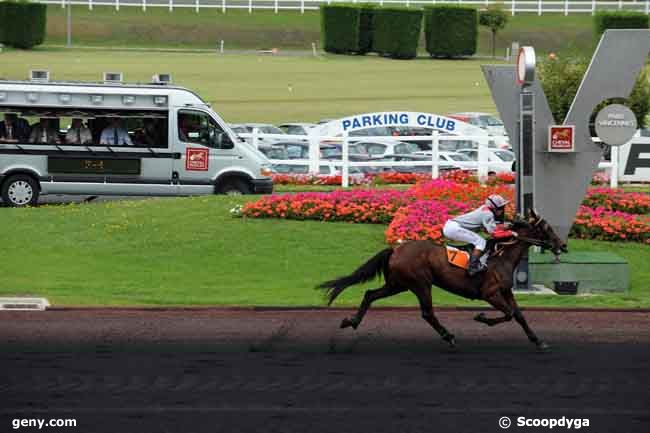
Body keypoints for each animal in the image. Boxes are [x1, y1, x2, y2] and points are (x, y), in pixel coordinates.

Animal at [318, 209, 568, 352]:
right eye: (546, 228)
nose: (563, 245)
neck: (501, 256)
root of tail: (396, 249)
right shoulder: (490, 293)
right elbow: (507, 314)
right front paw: (481, 317)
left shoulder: (506, 291)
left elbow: (518, 315)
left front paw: (538, 341)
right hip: (420, 283)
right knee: (427, 313)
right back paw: (449, 336)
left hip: (398, 284)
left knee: (370, 294)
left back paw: (351, 321)